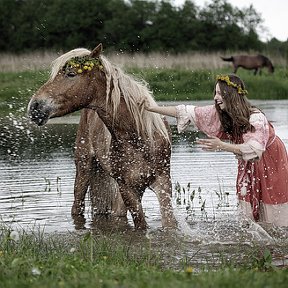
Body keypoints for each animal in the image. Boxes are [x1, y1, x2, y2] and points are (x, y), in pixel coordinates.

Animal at [27, 42, 177, 230]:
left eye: (71, 74)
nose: (34, 106)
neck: (139, 136)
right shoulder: (127, 188)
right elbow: (141, 224)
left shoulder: (162, 182)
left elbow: (168, 225)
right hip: (84, 168)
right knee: (77, 207)